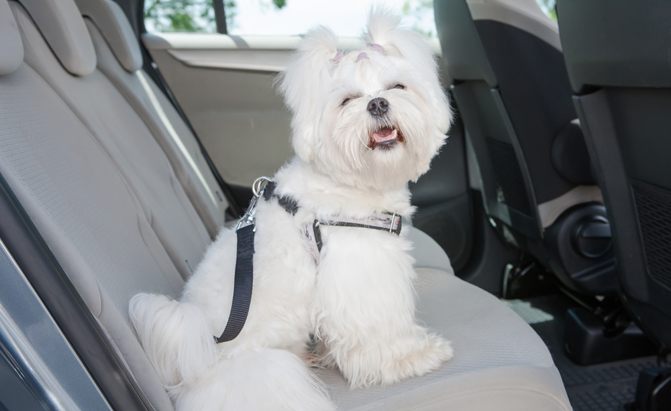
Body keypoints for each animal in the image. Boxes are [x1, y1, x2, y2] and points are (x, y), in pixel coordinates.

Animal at [130, 10, 453, 411]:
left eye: (397, 87)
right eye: (347, 100)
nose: (377, 104)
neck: (348, 181)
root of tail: (196, 370)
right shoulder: (361, 274)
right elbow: (380, 329)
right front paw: (415, 357)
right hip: (268, 374)